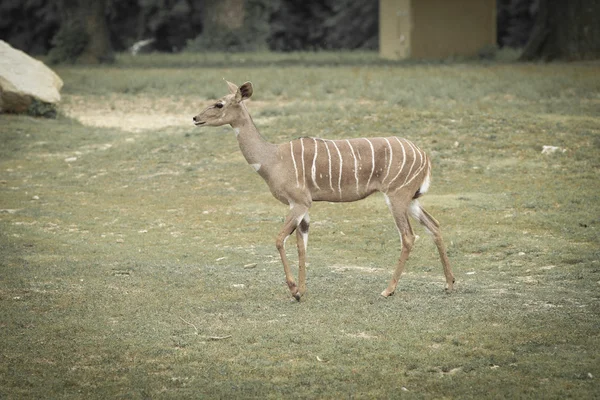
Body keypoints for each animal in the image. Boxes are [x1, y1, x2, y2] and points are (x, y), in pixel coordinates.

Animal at [193, 80, 454, 300]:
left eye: (219, 103)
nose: (195, 118)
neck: (272, 158)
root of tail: (424, 156)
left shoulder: (299, 203)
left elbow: (279, 239)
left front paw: (294, 290)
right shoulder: (304, 207)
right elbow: (301, 245)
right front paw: (302, 290)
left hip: (396, 197)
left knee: (408, 236)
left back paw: (388, 290)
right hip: (411, 199)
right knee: (435, 226)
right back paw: (449, 283)